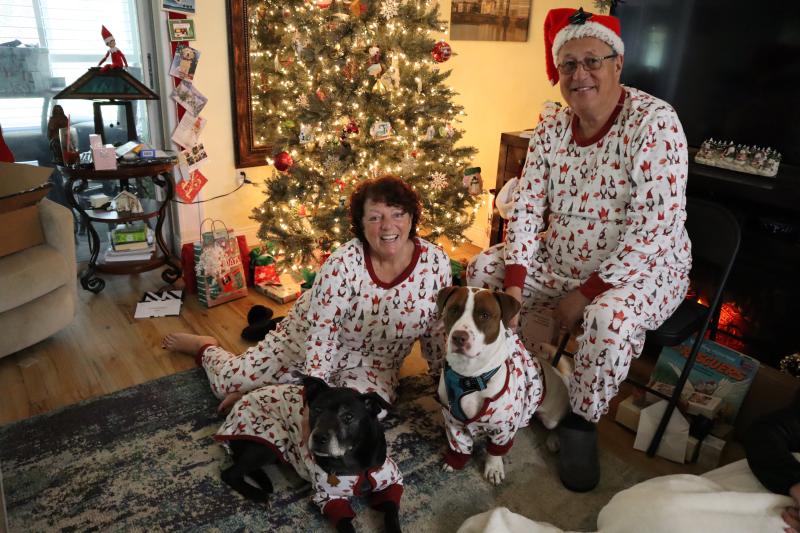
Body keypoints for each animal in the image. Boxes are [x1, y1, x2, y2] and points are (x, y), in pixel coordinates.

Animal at [215, 374, 402, 533]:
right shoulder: (328, 497)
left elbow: (392, 514)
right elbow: (346, 525)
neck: (353, 460)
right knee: (228, 474)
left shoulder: (391, 481)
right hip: (266, 445)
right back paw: (259, 495)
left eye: (348, 416)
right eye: (317, 409)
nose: (318, 437)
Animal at [436, 286, 571, 484]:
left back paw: (554, 440)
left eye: (484, 315)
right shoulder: (453, 422)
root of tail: (559, 373)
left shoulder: (503, 427)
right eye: (453, 310)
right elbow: (459, 445)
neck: (469, 376)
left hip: (552, 418)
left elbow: (496, 450)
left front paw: (493, 468)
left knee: (559, 424)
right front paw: (454, 461)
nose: (459, 337)